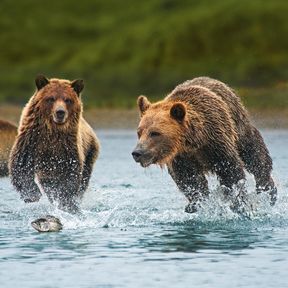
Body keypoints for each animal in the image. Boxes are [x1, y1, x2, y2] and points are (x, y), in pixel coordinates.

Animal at [9, 75, 99, 213]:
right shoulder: (31, 140)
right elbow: (20, 164)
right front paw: (33, 195)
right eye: (51, 98)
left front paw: (66, 201)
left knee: (83, 179)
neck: (53, 131)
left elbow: (71, 175)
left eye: (68, 100)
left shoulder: (68, 148)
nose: (60, 112)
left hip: (90, 152)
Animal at [132, 76, 276, 214]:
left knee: (255, 155)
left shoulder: (217, 142)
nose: (137, 153)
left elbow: (231, 170)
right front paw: (196, 202)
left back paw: (268, 190)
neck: (194, 141)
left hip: (239, 126)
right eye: (139, 132)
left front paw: (238, 202)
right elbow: (189, 179)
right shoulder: (181, 157)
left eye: (155, 133)